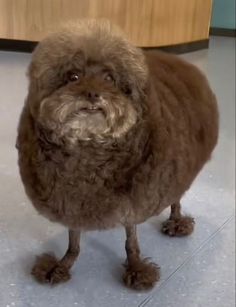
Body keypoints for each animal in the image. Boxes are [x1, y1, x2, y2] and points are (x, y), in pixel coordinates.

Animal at [16, 19, 218, 292]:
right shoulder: (69, 199)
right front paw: (61, 265)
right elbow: (73, 240)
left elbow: (130, 239)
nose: (92, 94)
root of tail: (181, 62)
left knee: (175, 197)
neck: (88, 148)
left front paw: (136, 268)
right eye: (73, 76)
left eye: (110, 78)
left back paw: (177, 222)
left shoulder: (134, 198)